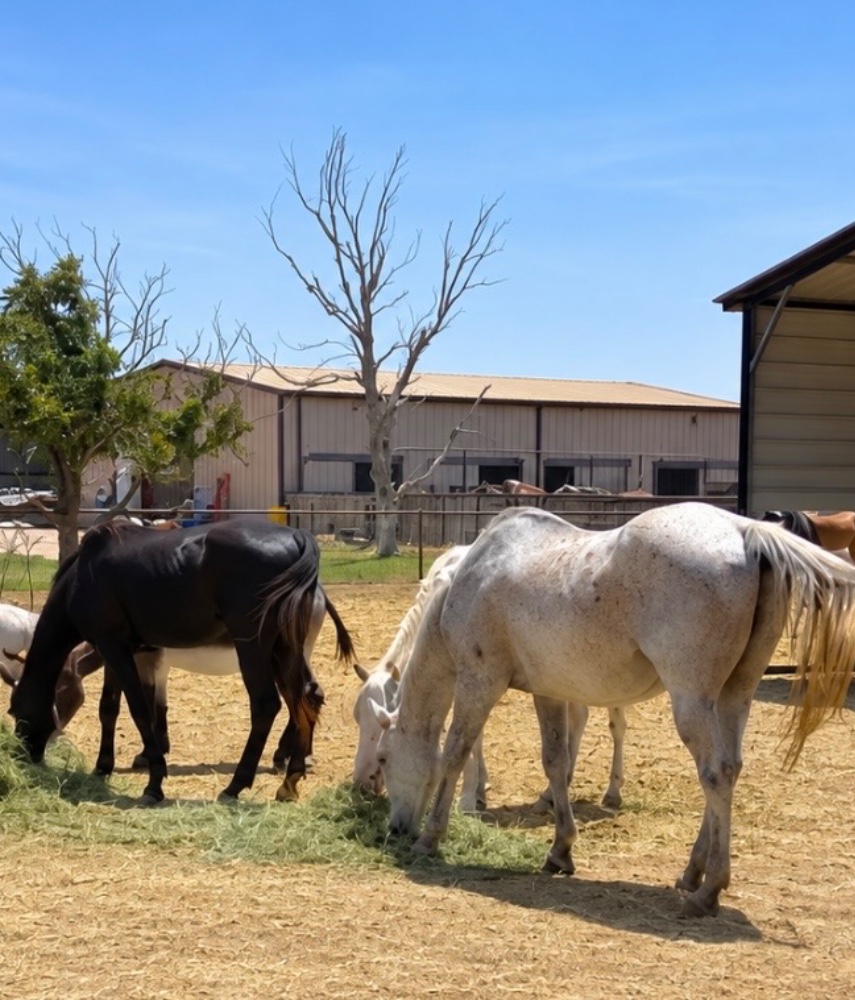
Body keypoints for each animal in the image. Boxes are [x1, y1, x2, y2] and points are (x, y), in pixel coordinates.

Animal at [9, 518, 355, 804]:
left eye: (15, 712)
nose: (21, 756)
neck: (84, 573)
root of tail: (298, 537)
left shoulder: (115, 648)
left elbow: (139, 710)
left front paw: (154, 782)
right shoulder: (118, 650)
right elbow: (110, 708)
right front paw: (103, 767)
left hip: (255, 649)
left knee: (267, 705)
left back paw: (236, 785)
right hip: (285, 650)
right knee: (305, 699)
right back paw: (290, 779)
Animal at [352, 545, 628, 811]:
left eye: (380, 724)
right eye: (358, 718)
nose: (361, 782)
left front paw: (467, 797)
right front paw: (479, 786)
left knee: (615, 725)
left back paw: (611, 792)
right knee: (579, 718)